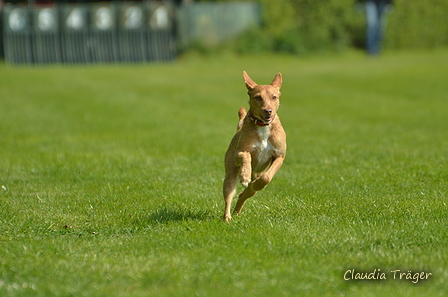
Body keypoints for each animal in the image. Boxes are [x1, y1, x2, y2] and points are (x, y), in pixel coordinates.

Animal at [223, 70, 288, 221]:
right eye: (258, 97)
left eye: (274, 97)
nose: (268, 111)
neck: (263, 126)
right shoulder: (240, 152)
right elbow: (245, 156)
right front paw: (245, 176)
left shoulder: (279, 155)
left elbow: (266, 177)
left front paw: (256, 184)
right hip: (230, 174)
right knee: (229, 194)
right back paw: (227, 217)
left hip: (256, 175)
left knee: (245, 194)